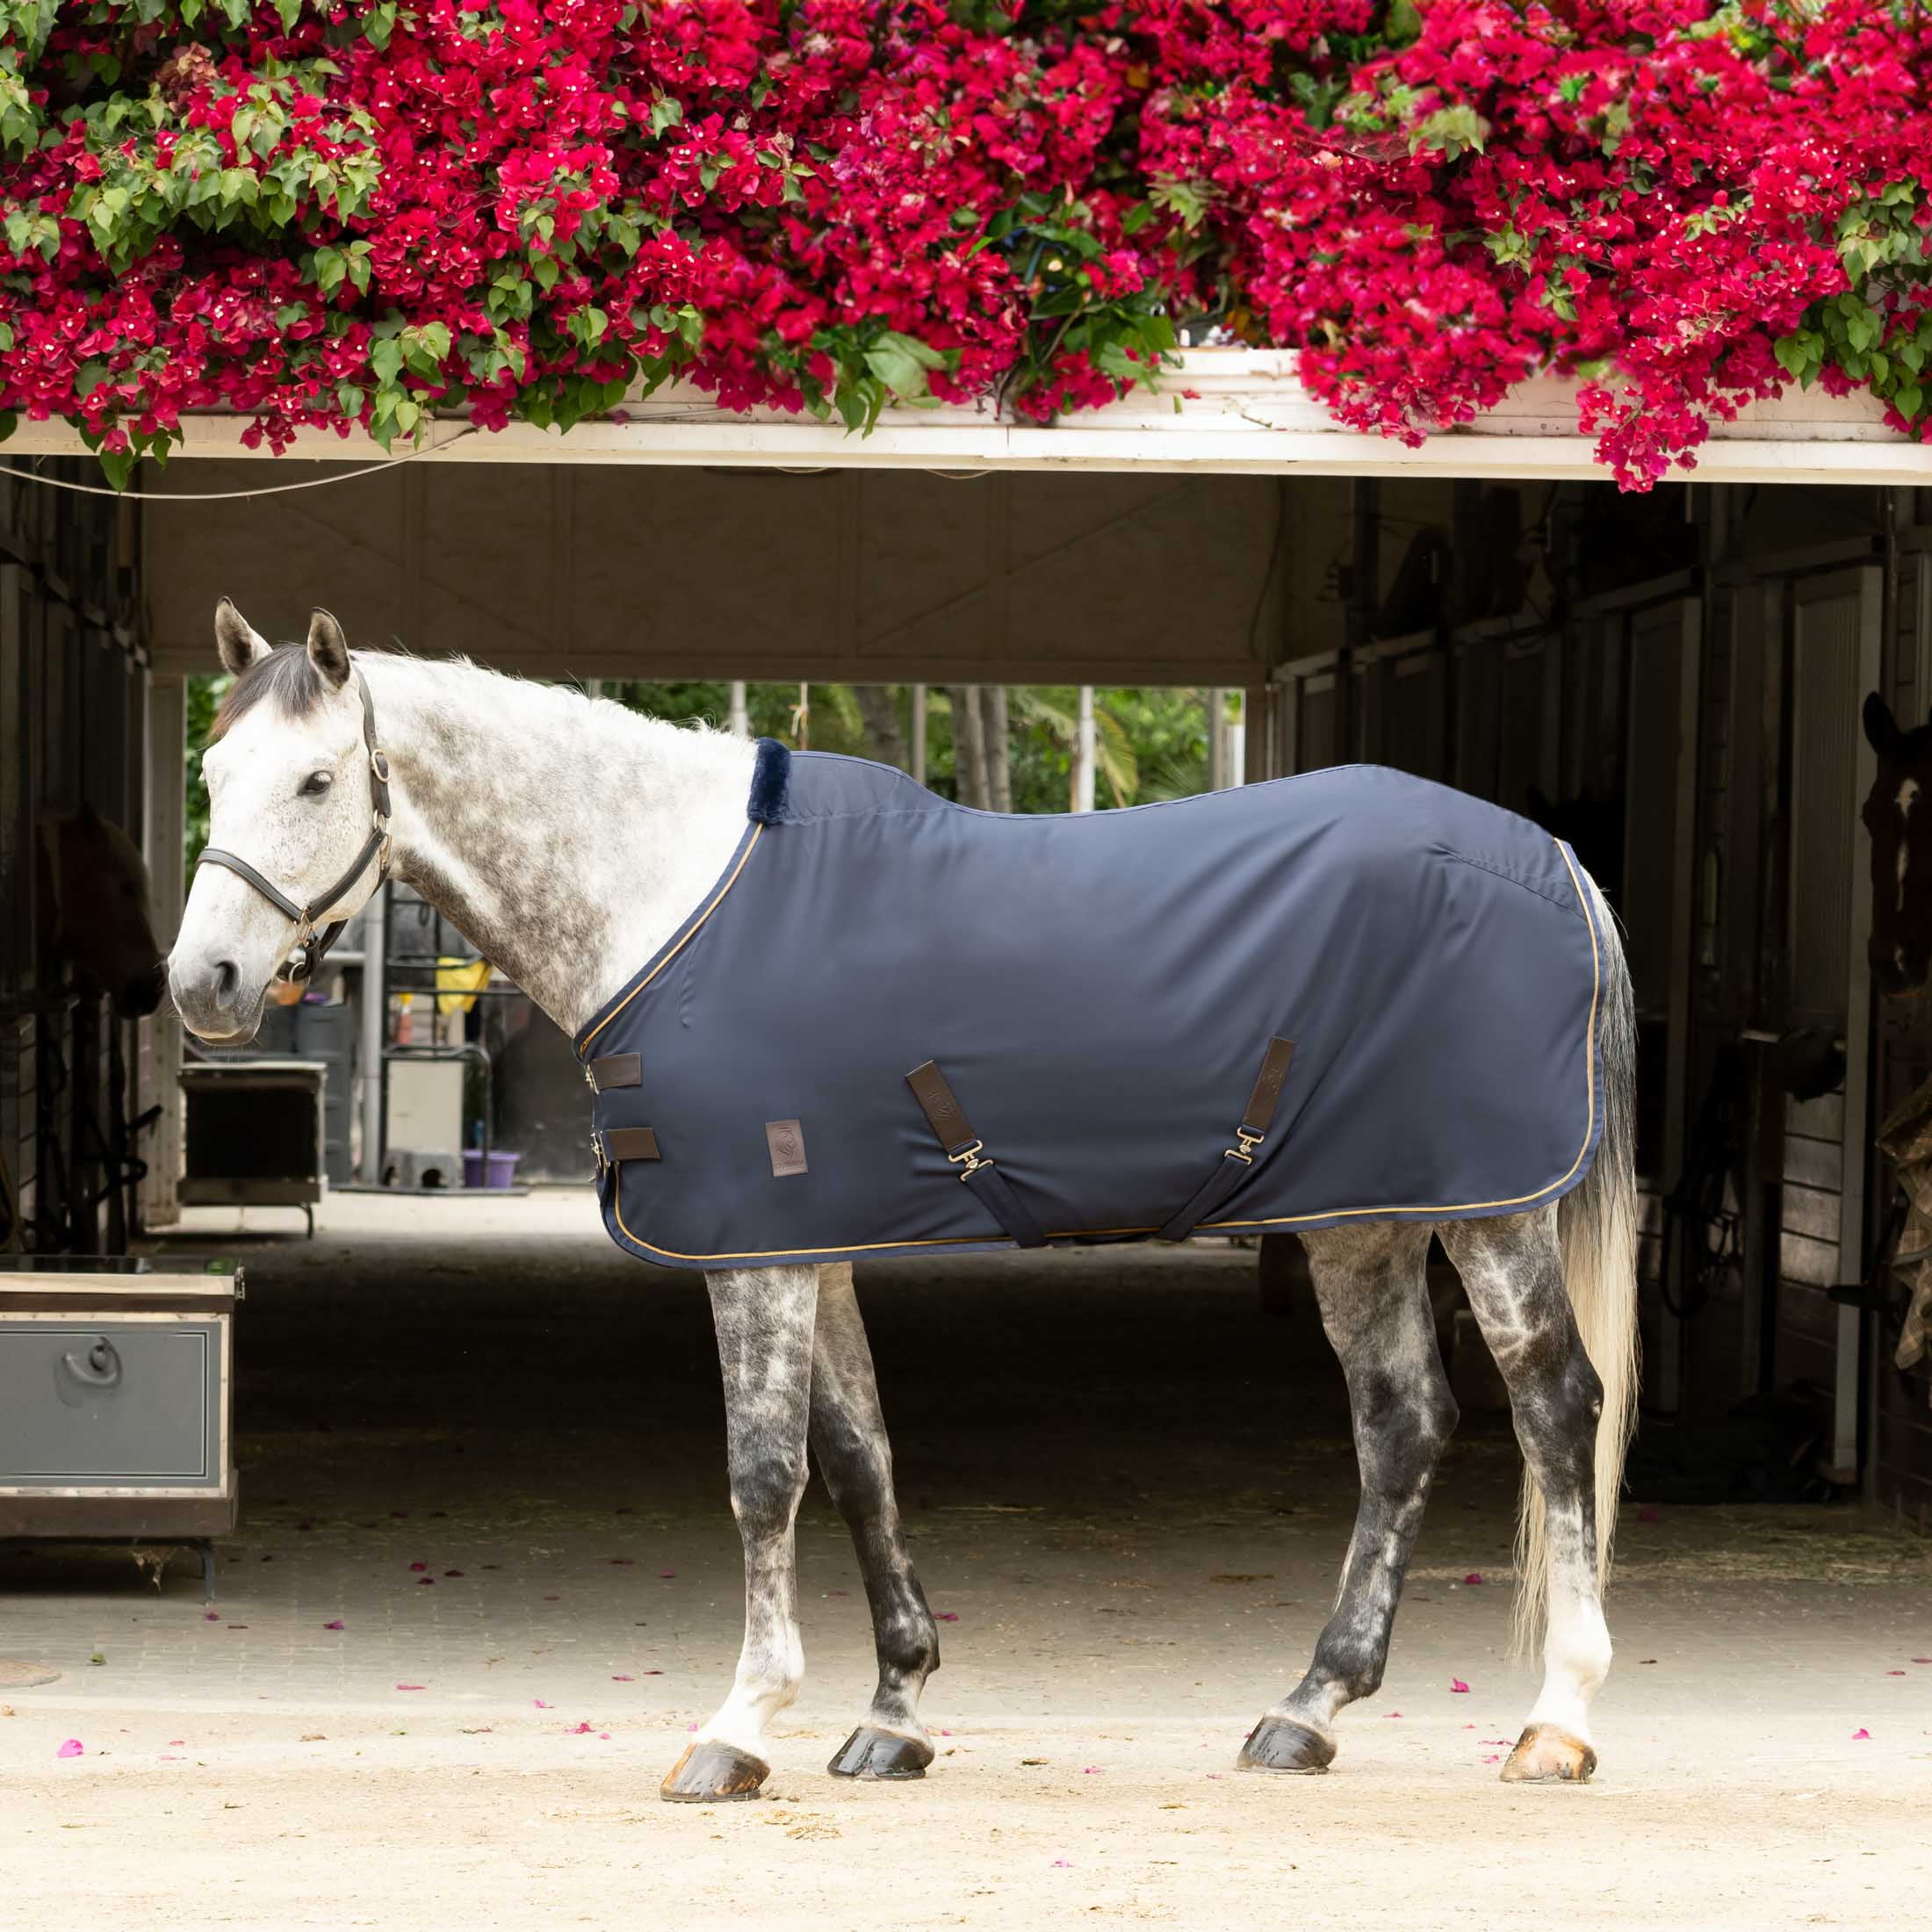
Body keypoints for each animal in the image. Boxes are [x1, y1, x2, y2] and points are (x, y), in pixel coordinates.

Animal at [168, 601, 1638, 1802]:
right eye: (212, 774)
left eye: (315, 778)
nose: (205, 985)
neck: (674, 895)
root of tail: (1554, 860)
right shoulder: (809, 1241)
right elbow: (859, 1457)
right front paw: (893, 1714)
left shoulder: (753, 1251)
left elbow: (765, 1474)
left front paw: (738, 1729)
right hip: (1366, 1220)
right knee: (1403, 1425)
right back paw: (1308, 1709)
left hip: (1491, 1212)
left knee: (1553, 1408)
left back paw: (1558, 1721)